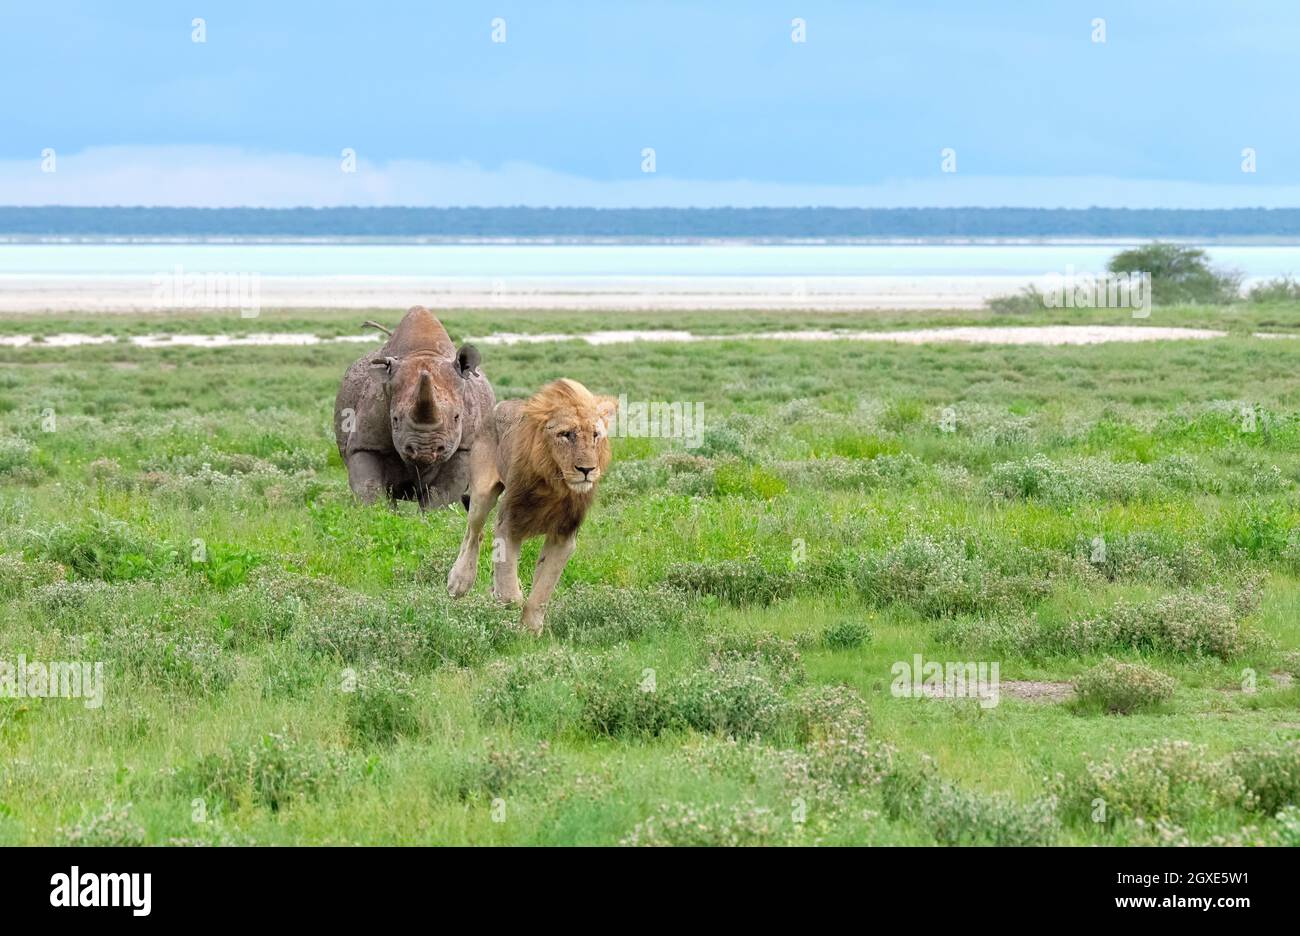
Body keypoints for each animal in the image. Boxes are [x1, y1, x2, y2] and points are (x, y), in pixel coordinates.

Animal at [447, 377, 618, 631]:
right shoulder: (508, 522)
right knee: (473, 533)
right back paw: (458, 582)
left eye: (596, 435)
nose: (587, 469)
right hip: (482, 493)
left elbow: (542, 591)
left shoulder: (564, 537)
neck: (556, 485)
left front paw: (530, 629)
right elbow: (509, 590)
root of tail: (499, 406)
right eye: (565, 434)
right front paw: (507, 595)